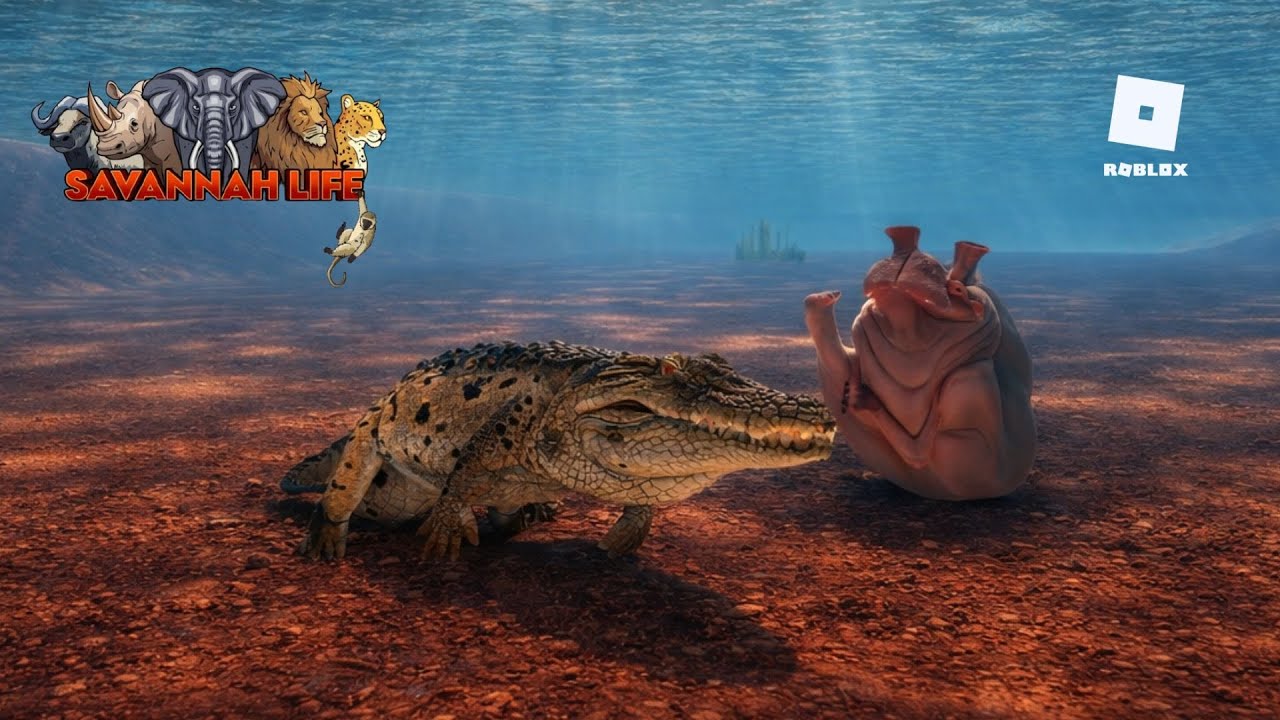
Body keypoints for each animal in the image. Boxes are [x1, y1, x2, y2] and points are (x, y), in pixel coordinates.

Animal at [804, 226, 1036, 500]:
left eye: (958, 289)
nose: (905, 238)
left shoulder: (970, 387)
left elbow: (920, 448)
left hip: (970, 390)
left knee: (921, 451)